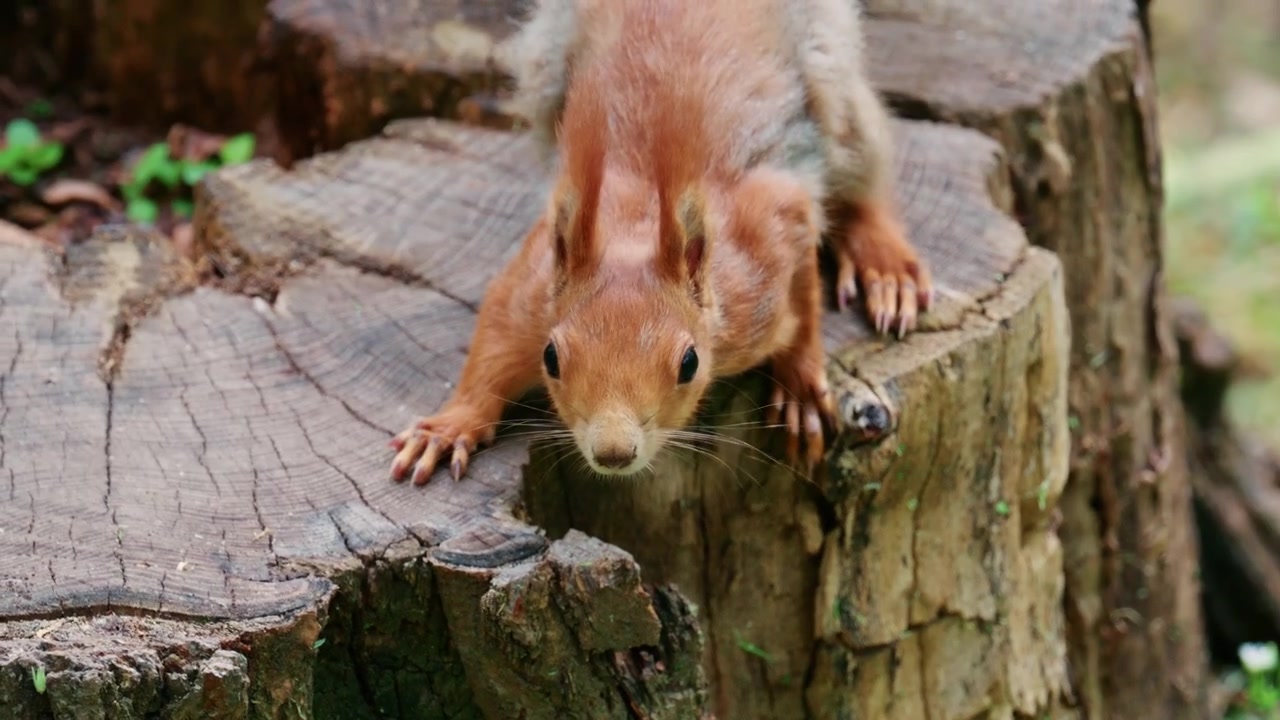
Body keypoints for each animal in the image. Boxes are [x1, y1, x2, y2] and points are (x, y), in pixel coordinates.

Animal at [389, 0, 932, 484]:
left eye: (689, 363)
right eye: (551, 358)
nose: (613, 452)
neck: (637, 223)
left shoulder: (771, 243)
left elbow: (803, 302)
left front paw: (800, 386)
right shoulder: (532, 287)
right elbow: (492, 343)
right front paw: (449, 426)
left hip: (833, 82)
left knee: (862, 178)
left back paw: (886, 267)